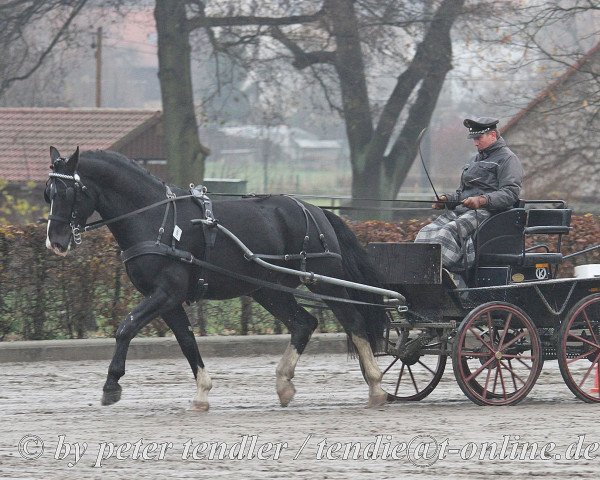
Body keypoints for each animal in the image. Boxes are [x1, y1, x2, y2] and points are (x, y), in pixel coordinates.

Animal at [43, 145, 398, 408]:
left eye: (69, 192)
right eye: (49, 193)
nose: (55, 242)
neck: (155, 218)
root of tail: (315, 210)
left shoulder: (165, 293)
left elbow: (125, 327)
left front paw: (111, 383)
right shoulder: (167, 300)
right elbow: (186, 340)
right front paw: (202, 391)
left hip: (322, 278)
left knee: (353, 321)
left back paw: (376, 386)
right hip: (267, 289)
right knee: (303, 323)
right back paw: (284, 383)